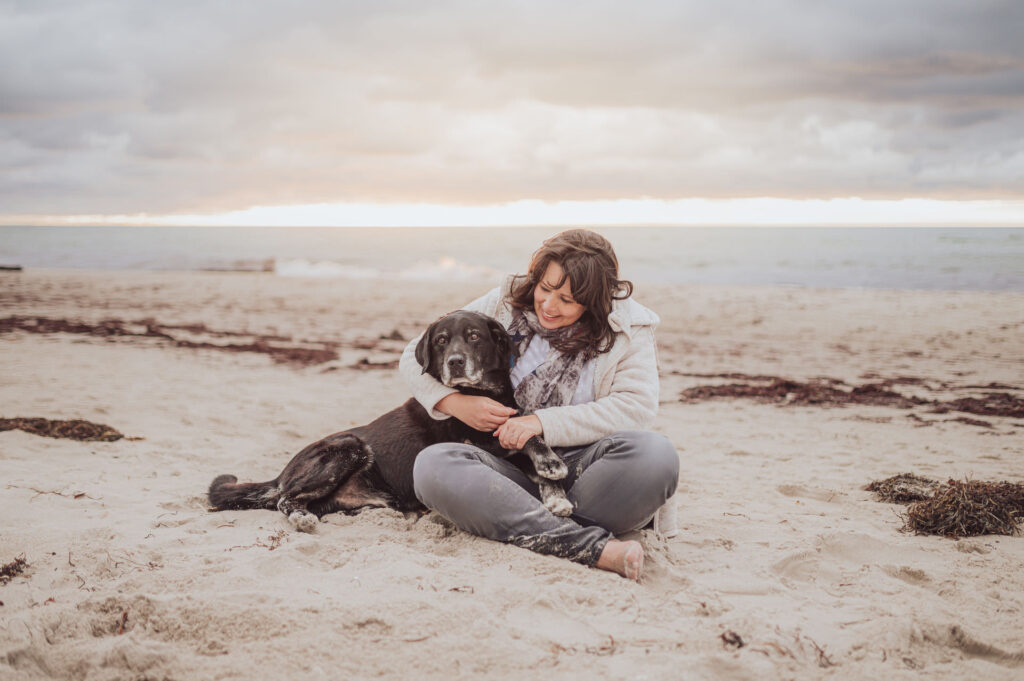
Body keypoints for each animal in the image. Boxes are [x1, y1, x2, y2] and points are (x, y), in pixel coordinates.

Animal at [207, 309, 577, 532]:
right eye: (441, 341)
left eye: (474, 336)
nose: (455, 362)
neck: (481, 392)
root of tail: (283, 473)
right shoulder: (479, 439)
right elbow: (527, 436)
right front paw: (552, 463)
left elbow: (527, 442)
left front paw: (556, 496)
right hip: (348, 446)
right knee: (286, 499)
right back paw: (302, 517)